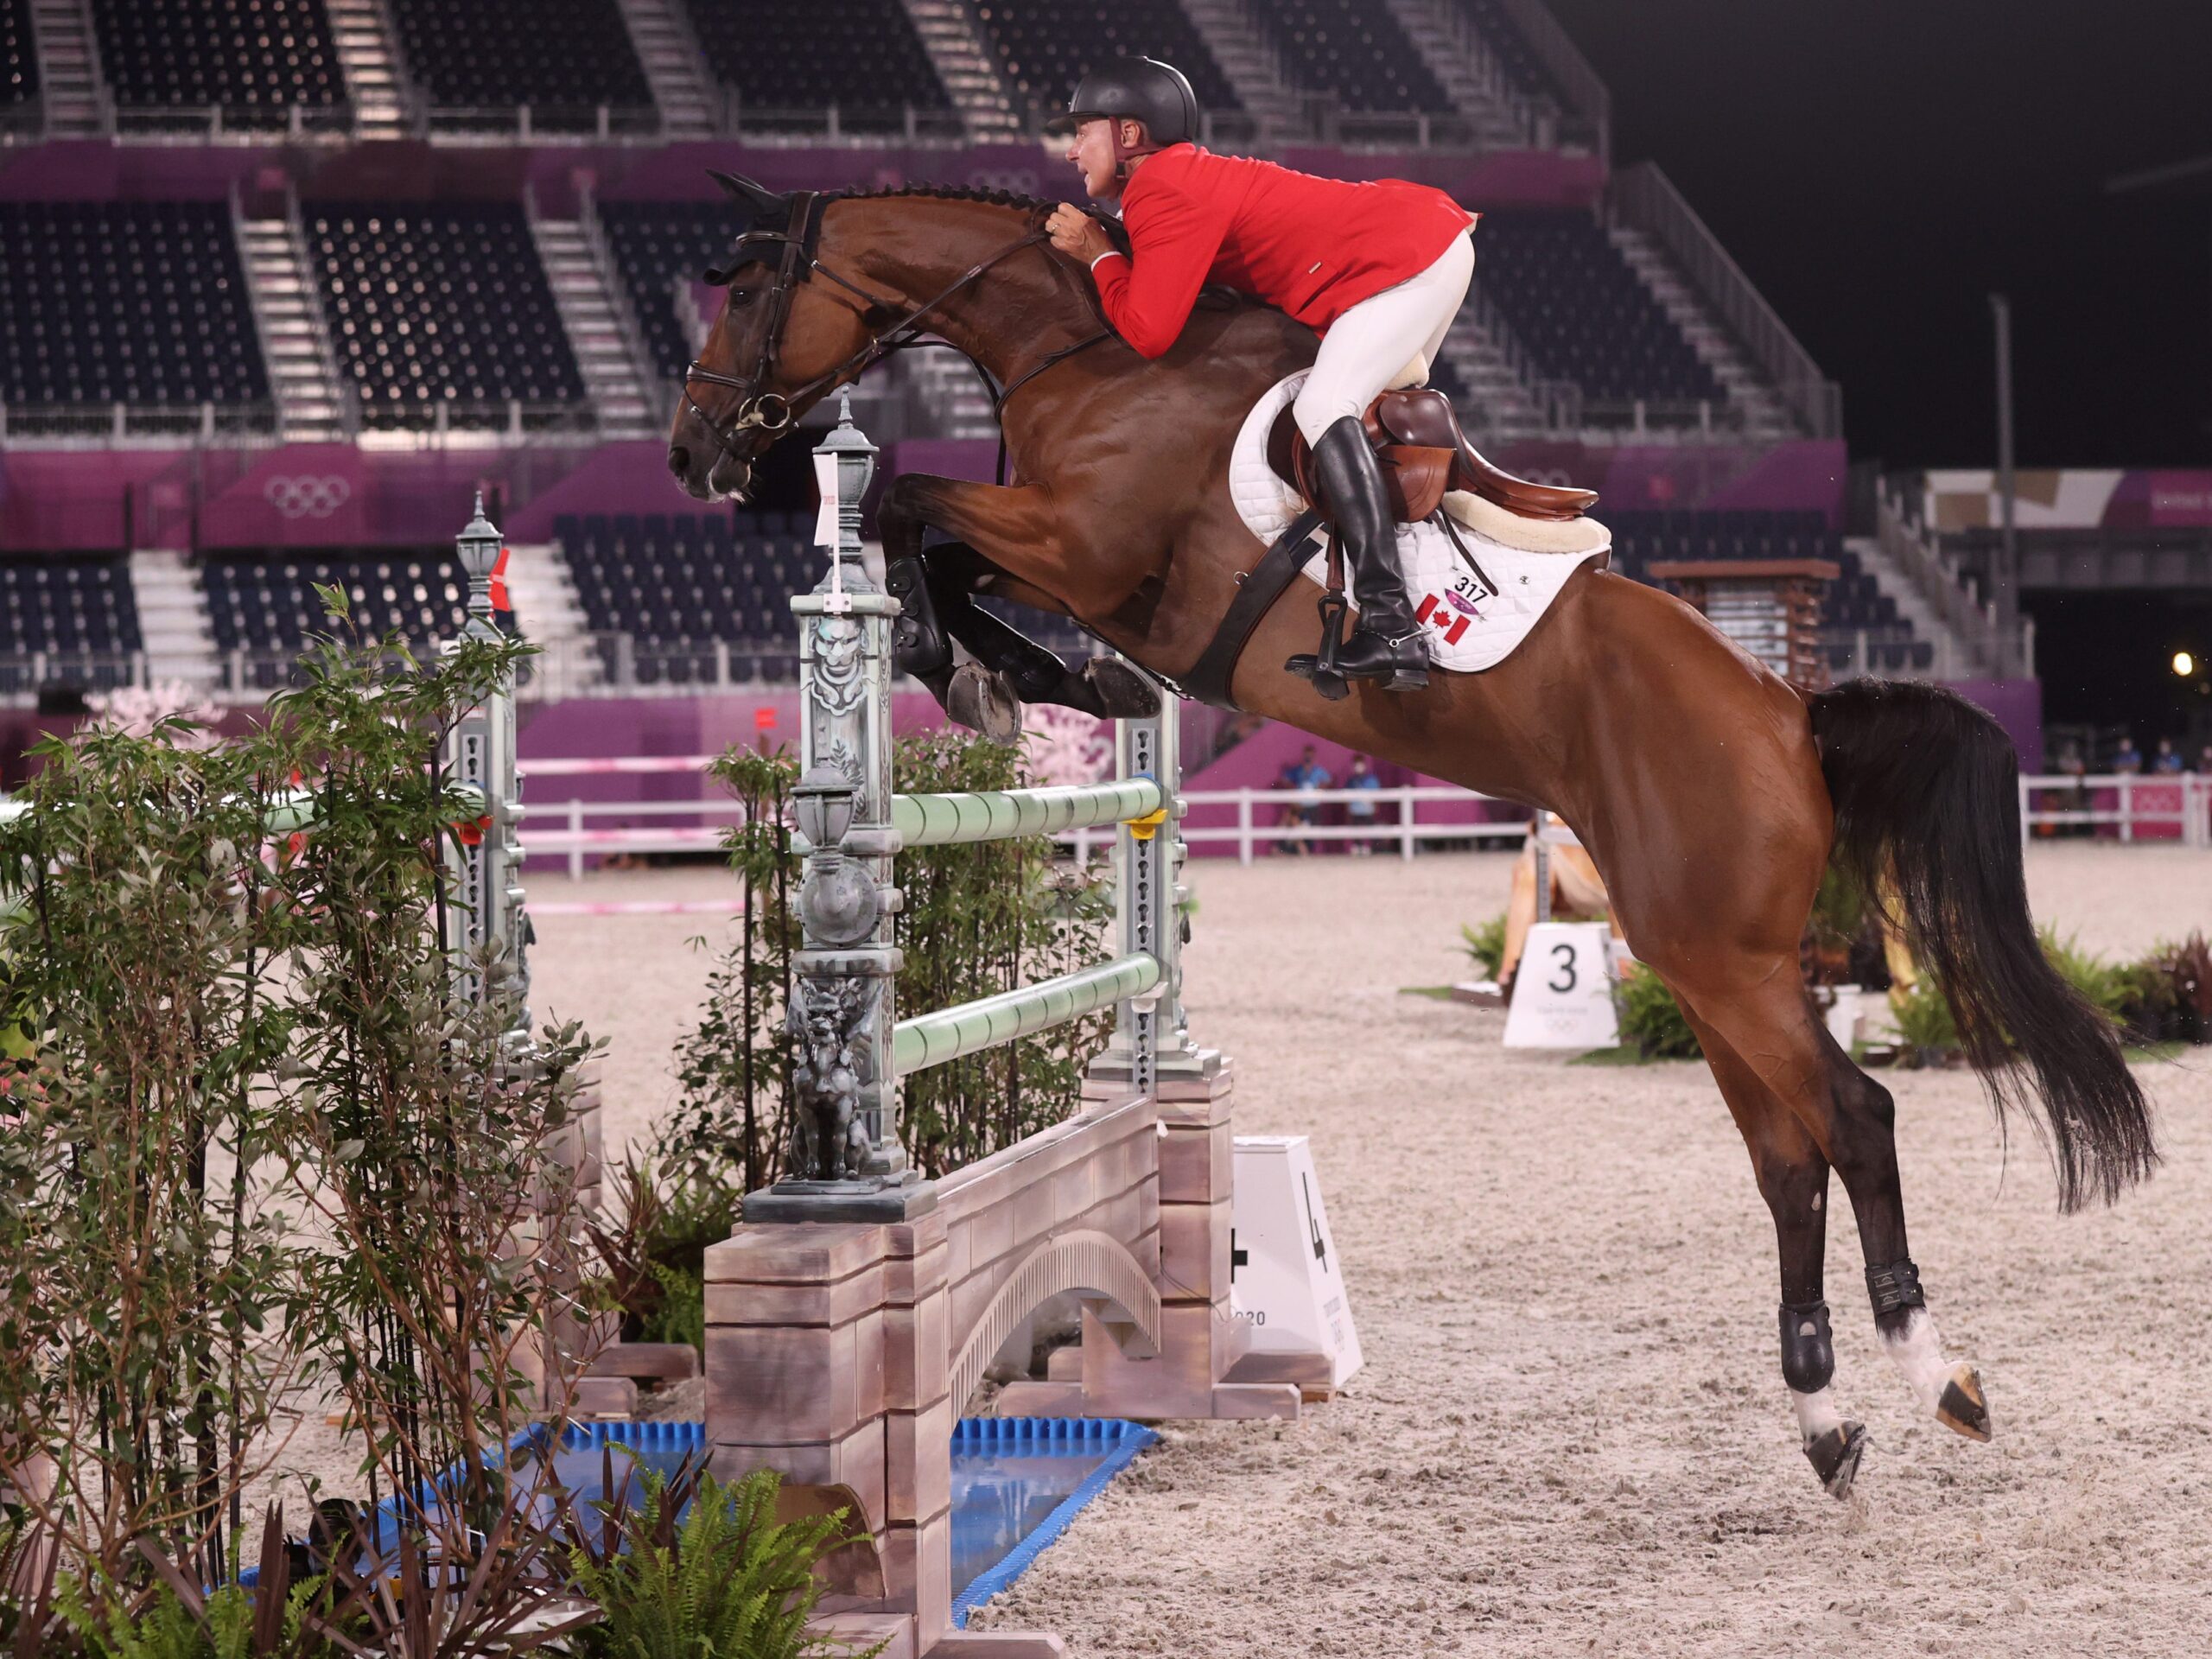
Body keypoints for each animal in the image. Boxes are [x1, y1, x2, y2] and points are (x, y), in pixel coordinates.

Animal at [664, 175, 2150, 1503]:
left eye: (740, 289)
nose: (691, 454)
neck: (1086, 349)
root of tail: (1790, 711)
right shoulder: (1071, 559)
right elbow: (945, 540)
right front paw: (1034, 676)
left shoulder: (1087, 548)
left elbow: (911, 506)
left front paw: (978, 664)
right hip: (1704, 957)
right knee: (1789, 1162)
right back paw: (1825, 1421)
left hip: (1726, 961)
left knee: (1856, 1119)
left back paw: (1937, 1375)